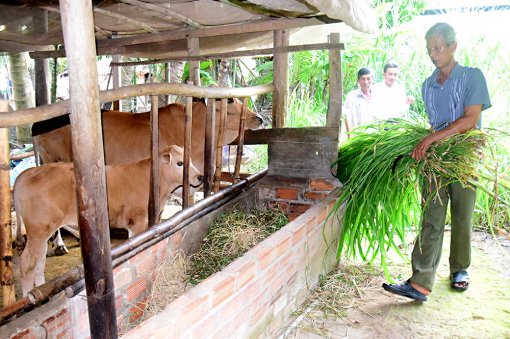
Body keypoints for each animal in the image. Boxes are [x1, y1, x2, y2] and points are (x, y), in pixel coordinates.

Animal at [14, 146, 201, 298]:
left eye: (190, 160)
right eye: (179, 163)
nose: (200, 177)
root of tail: (27, 173)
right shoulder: (138, 221)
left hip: (43, 233)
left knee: (39, 263)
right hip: (39, 231)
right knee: (27, 264)